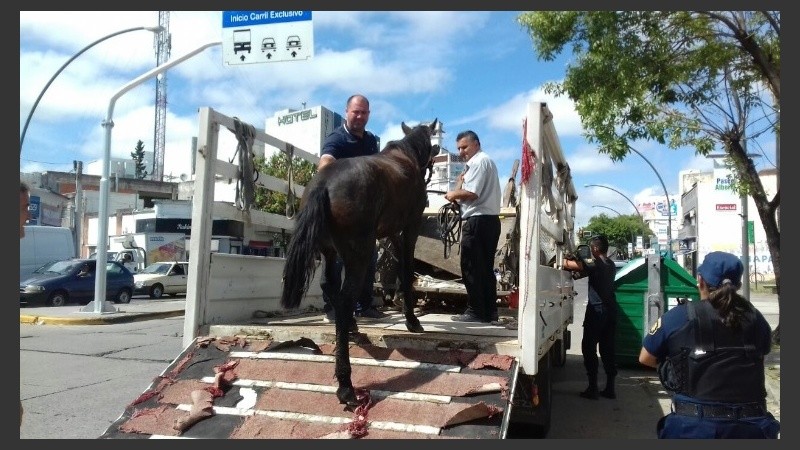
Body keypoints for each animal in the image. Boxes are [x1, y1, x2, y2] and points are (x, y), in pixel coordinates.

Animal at [282, 118, 440, 404]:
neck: (406, 156)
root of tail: (324, 184)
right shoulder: (410, 225)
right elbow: (406, 266)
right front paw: (412, 320)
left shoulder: (391, 232)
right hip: (359, 253)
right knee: (345, 299)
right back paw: (345, 383)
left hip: (331, 251)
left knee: (330, 287)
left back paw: (351, 328)